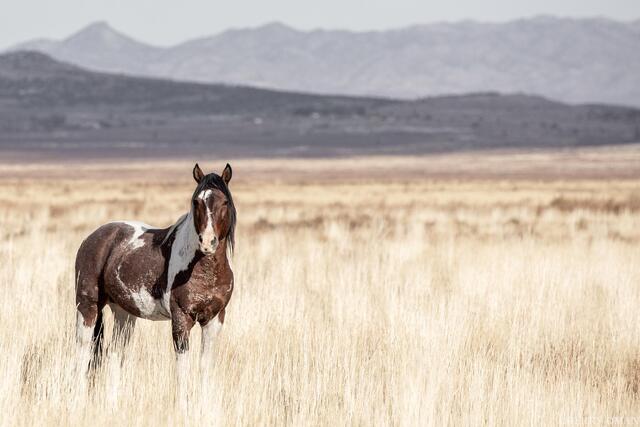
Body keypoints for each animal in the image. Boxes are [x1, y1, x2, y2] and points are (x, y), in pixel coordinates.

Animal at [74, 163, 236, 404]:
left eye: (224, 202)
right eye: (196, 201)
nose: (207, 242)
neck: (204, 269)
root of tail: (93, 237)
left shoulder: (214, 319)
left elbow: (205, 365)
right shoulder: (181, 319)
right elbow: (182, 367)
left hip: (123, 313)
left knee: (115, 353)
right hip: (87, 307)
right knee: (83, 350)